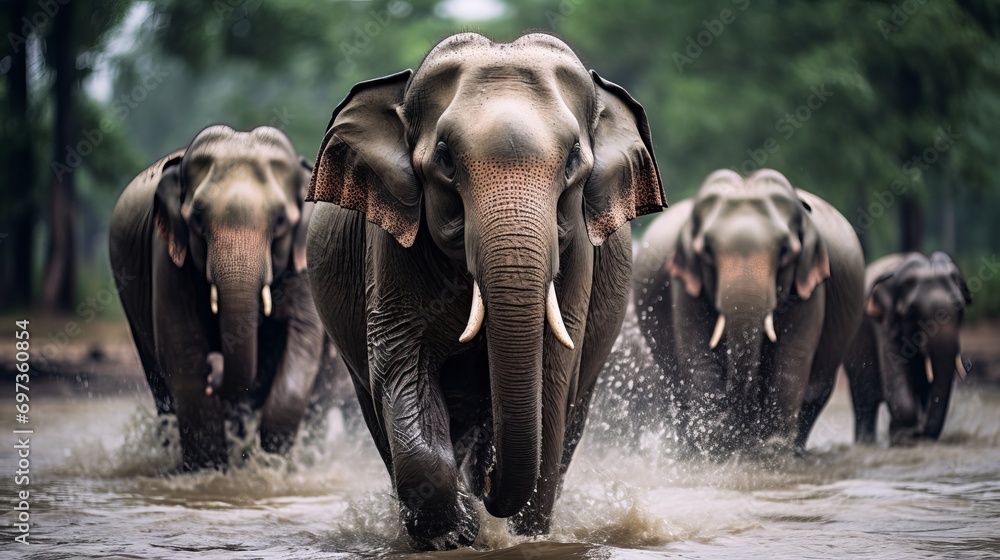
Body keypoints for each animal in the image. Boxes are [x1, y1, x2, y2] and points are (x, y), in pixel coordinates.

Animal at [110, 125, 342, 470]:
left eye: (280, 221)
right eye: (197, 219)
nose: (215, 364)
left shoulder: (305, 261)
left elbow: (301, 345)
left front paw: (271, 467)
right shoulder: (167, 257)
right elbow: (184, 354)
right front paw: (208, 472)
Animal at [305, 33, 665, 548]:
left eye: (573, 160)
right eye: (446, 160)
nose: (490, 481)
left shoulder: (576, 251)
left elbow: (552, 377)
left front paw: (512, 532)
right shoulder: (390, 245)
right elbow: (402, 361)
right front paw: (457, 532)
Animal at [633, 169, 864, 455]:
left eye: (785, 251)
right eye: (706, 250)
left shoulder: (809, 286)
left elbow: (790, 359)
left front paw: (771, 448)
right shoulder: (684, 284)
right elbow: (699, 359)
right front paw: (714, 442)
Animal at [844, 252, 971, 444]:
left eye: (960, 308)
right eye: (912, 312)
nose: (921, 431)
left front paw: (910, 435)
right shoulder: (883, 324)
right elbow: (896, 382)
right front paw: (903, 435)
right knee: (865, 401)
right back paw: (866, 443)